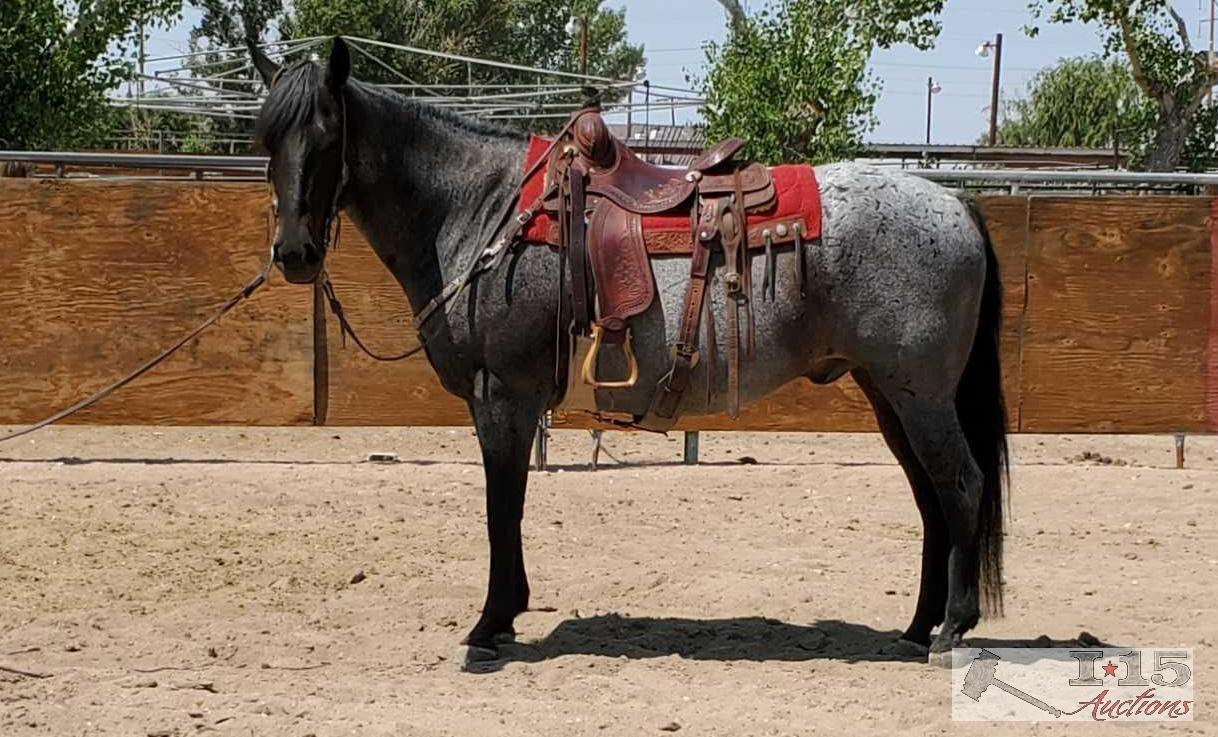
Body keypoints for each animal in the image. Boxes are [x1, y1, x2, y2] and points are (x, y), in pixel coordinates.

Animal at [247, 35, 1008, 667]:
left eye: (326, 136)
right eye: (266, 137)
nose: (294, 253)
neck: (482, 210)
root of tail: (953, 204)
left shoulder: (503, 397)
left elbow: (502, 506)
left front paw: (491, 625)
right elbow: (507, 505)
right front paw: (506, 616)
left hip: (920, 395)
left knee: (961, 486)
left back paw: (951, 629)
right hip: (890, 394)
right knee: (931, 498)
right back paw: (916, 627)